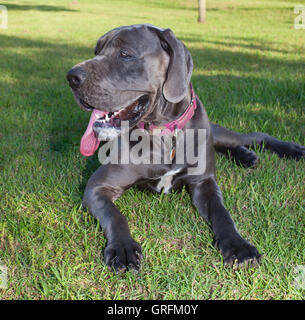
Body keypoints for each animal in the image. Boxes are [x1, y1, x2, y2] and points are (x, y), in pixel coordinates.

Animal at [67, 23, 304, 272]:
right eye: (96, 51)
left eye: (125, 54)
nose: (72, 77)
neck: (164, 133)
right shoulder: (97, 187)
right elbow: (115, 216)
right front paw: (123, 248)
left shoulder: (204, 182)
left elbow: (221, 212)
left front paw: (238, 246)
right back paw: (246, 156)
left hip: (214, 129)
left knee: (254, 136)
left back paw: (289, 150)